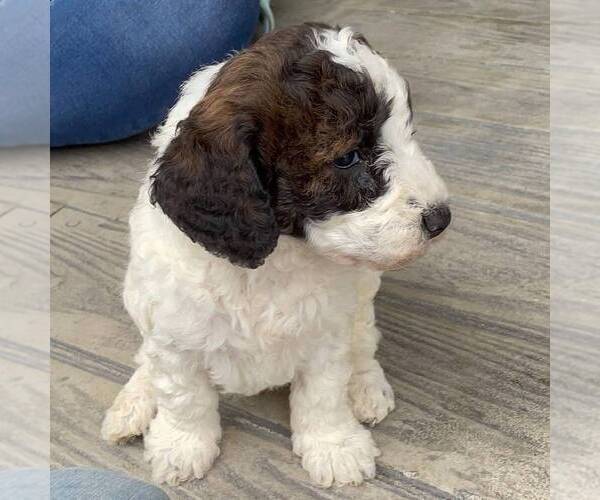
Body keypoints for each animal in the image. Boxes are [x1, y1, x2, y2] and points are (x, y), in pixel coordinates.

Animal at [102, 24, 450, 488]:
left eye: (408, 134)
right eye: (347, 157)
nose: (441, 218)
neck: (273, 261)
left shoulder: (327, 332)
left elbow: (324, 393)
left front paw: (334, 447)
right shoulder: (176, 334)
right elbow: (184, 395)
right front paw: (182, 446)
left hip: (360, 296)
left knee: (364, 340)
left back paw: (365, 388)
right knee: (147, 359)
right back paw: (133, 403)